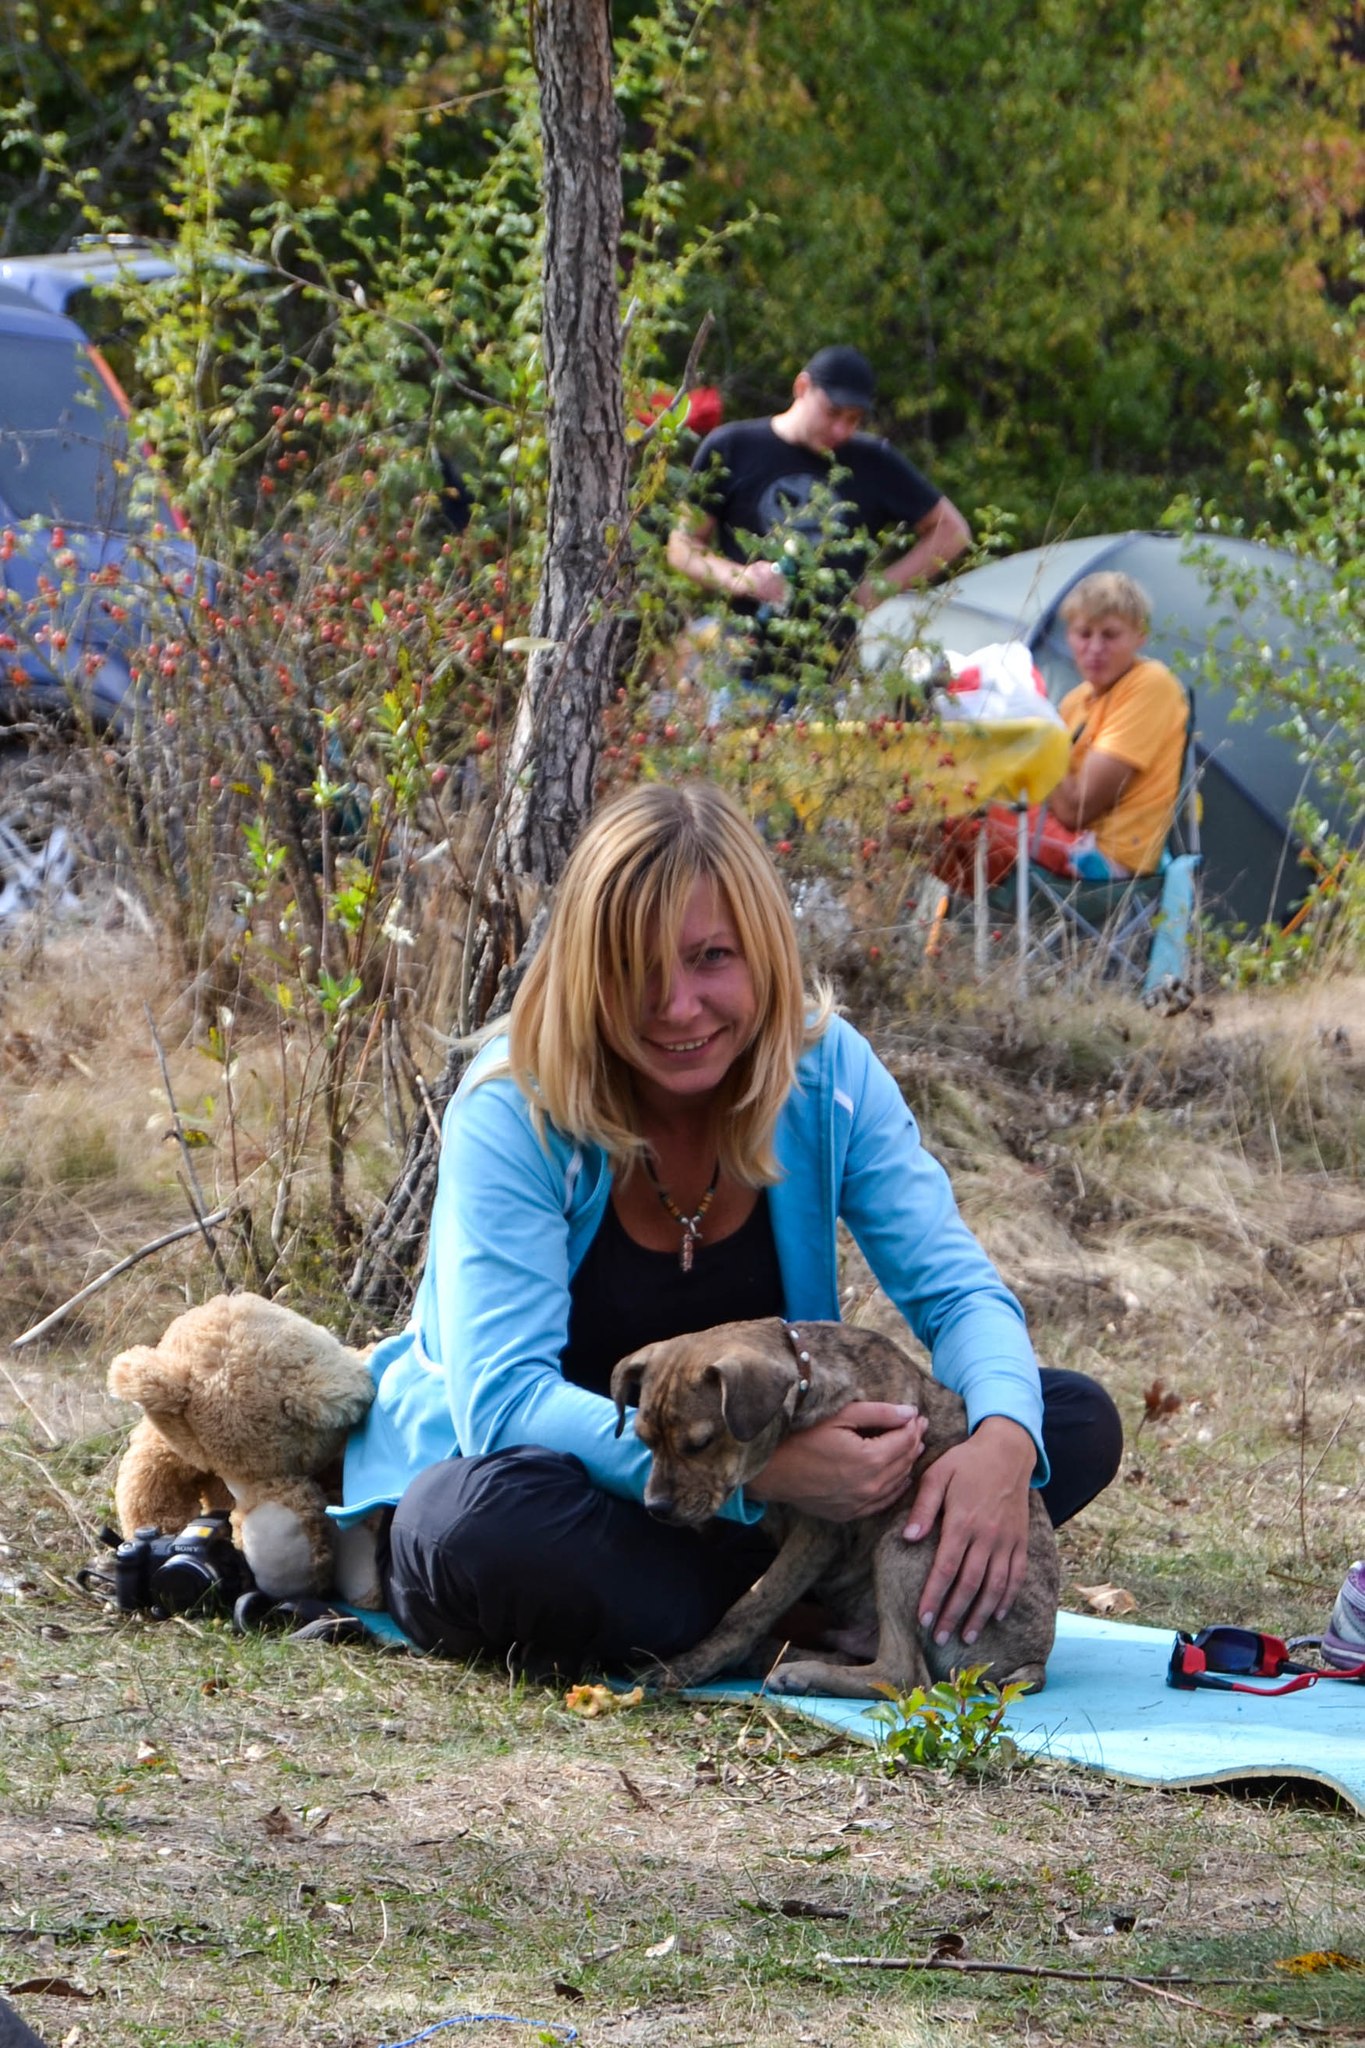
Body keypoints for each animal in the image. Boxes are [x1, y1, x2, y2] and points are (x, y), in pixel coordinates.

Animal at [613, 1310, 1064, 1695]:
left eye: (701, 1443)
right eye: (643, 1439)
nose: (656, 1508)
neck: (807, 1376)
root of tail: (1033, 1663)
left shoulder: (819, 1530)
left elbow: (752, 1603)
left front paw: (688, 1665)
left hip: (906, 1547)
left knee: (904, 1675)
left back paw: (799, 1671)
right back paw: (779, 1656)